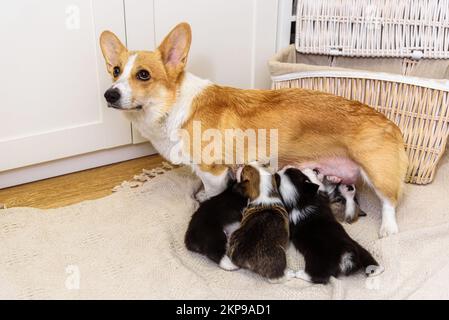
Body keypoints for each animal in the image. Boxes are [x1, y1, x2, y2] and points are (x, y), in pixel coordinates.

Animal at [100, 23, 408, 238]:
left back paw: (389, 229)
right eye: (115, 71)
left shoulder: (214, 171)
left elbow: (212, 193)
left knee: (390, 201)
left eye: (143, 75)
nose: (109, 94)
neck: (172, 106)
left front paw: (205, 203)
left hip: (376, 172)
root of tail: (391, 123)